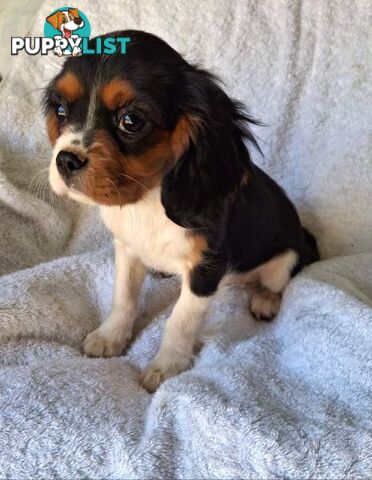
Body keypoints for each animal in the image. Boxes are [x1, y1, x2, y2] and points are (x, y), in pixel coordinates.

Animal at [42, 29, 316, 390]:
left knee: (275, 281)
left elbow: (180, 321)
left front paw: (166, 368)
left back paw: (265, 301)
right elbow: (123, 296)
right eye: (60, 110)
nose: (65, 160)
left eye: (131, 120)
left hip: (285, 258)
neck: (146, 200)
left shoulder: (207, 267)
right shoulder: (127, 249)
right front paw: (110, 337)